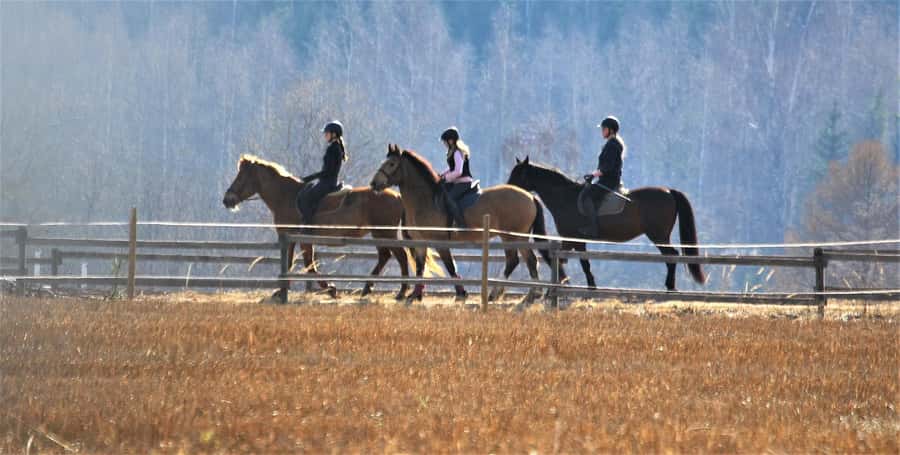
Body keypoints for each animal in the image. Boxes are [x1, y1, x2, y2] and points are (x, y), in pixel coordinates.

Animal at [223, 154, 412, 300]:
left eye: (241, 177)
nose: (227, 200)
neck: (287, 196)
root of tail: (397, 196)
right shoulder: (291, 238)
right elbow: (291, 262)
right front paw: (281, 291)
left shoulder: (302, 239)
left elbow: (309, 265)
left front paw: (330, 288)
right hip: (379, 234)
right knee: (385, 256)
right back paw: (368, 289)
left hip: (385, 233)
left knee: (400, 256)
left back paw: (401, 291)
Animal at [370, 144, 551, 304]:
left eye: (391, 164)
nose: (373, 184)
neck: (425, 200)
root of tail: (530, 196)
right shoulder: (421, 242)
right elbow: (420, 268)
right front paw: (415, 295)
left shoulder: (440, 242)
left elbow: (450, 267)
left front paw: (461, 294)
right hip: (519, 237)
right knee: (528, 260)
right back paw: (530, 295)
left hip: (511, 237)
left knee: (515, 260)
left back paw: (500, 294)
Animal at [506, 156, 707, 291]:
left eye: (519, 174)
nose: (507, 187)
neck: (565, 197)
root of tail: (668, 191)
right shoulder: (573, 241)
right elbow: (571, 260)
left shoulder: (574, 239)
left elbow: (581, 262)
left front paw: (589, 285)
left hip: (659, 235)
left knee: (672, 256)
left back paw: (670, 286)